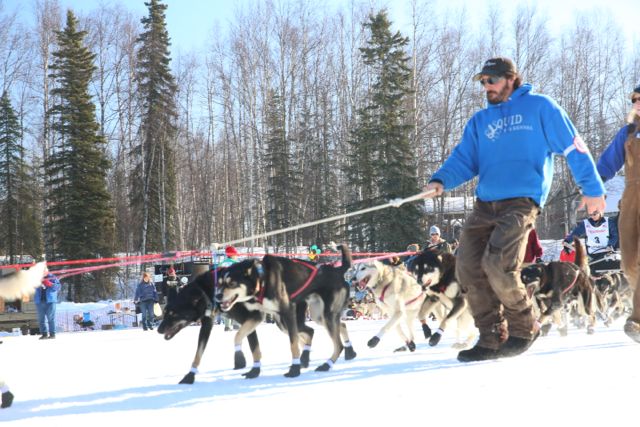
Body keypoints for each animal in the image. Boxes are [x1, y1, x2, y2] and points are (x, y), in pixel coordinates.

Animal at [217, 245, 356, 378]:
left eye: (232, 283)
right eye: (220, 283)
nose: (217, 296)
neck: (263, 280)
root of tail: (338, 270)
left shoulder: (288, 312)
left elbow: (293, 345)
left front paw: (294, 370)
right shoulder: (255, 316)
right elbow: (241, 338)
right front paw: (249, 367)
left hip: (323, 315)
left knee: (338, 344)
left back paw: (326, 365)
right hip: (315, 317)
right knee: (338, 326)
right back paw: (348, 352)